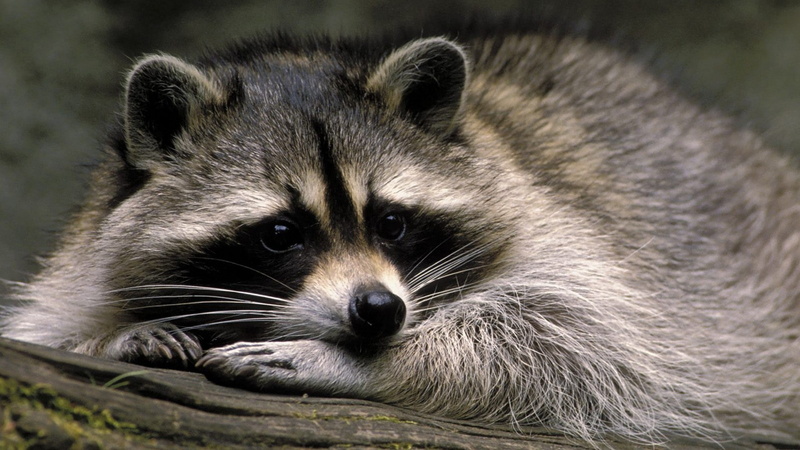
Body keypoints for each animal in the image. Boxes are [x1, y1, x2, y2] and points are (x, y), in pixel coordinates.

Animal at [2, 24, 799, 446]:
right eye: (281, 233)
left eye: (391, 222)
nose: (379, 312)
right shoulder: (88, 245)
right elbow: (46, 324)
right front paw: (110, 337)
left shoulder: (568, 233)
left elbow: (580, 347)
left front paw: (355, 362)